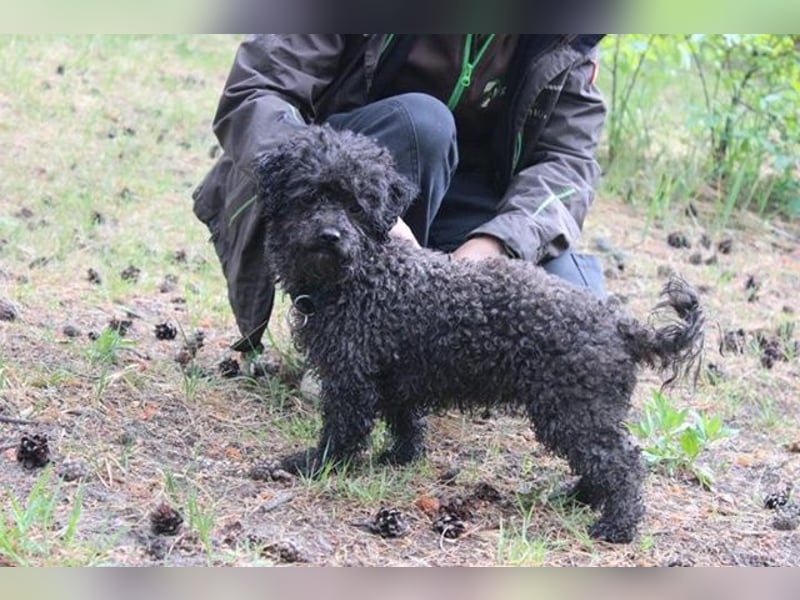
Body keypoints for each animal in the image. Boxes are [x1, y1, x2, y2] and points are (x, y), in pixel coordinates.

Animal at [255, 124, 704, 543]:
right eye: (309, 196)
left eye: (356, 206)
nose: (330, 235)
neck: (364, 273)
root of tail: (618, 323)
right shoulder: (395, 376)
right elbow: (406, 422)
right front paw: (399, 458)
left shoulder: (351, 378)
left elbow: (343, 430)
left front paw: (316, 464)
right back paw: (580, 497)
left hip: (576, 411)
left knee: (623, 464)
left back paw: (617, 525)